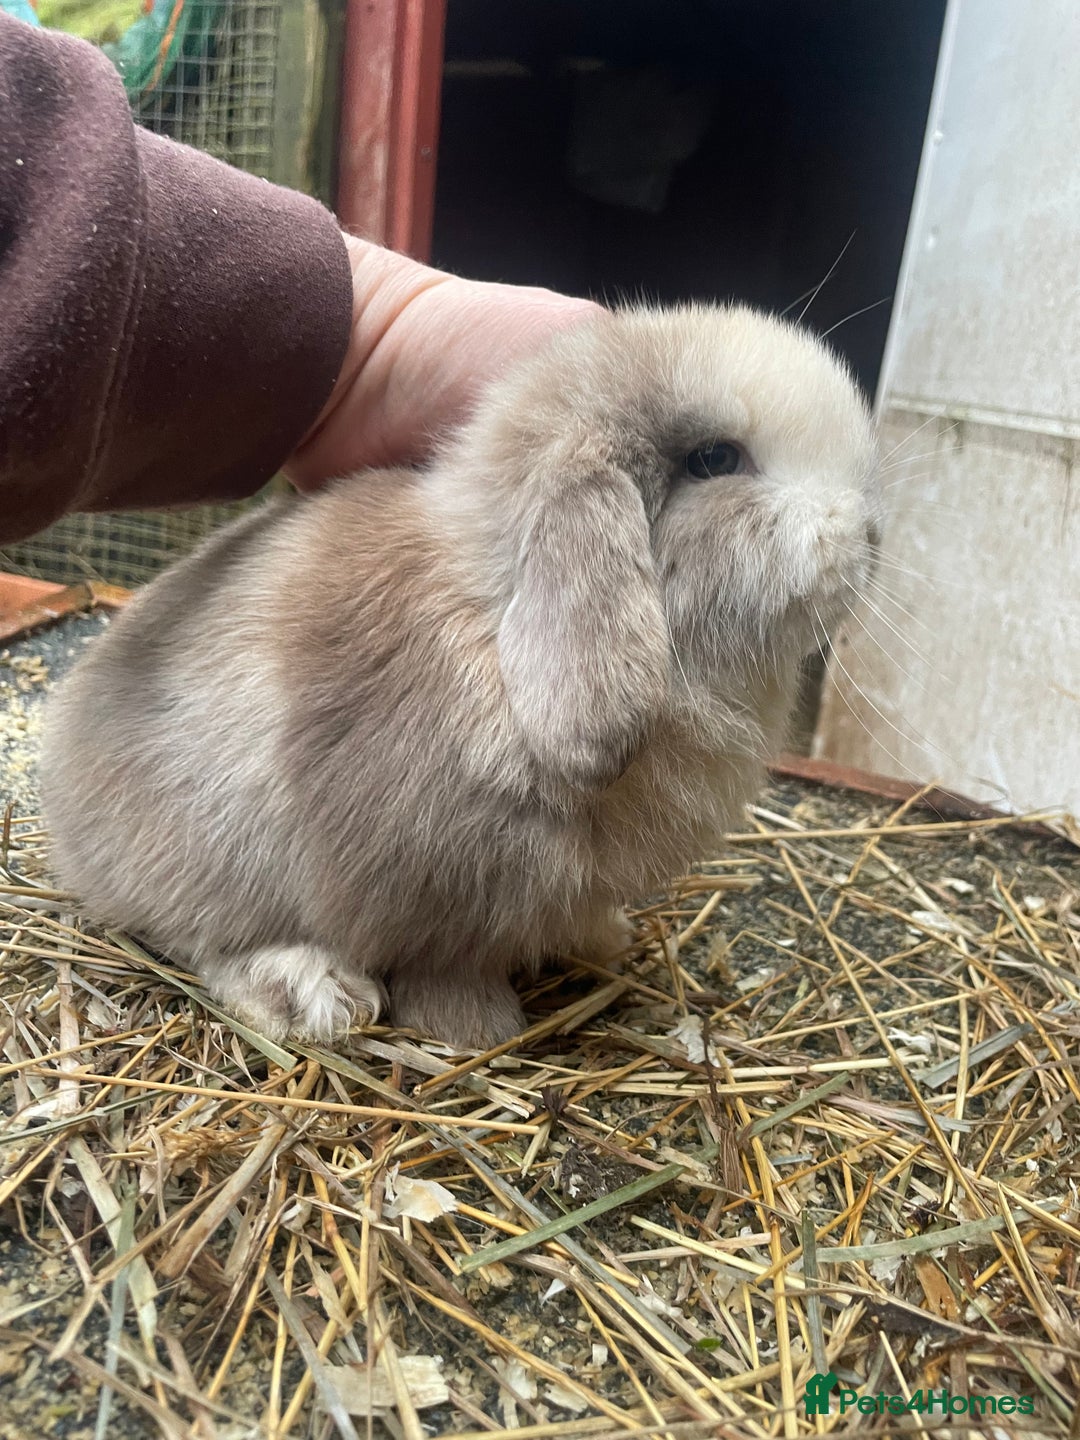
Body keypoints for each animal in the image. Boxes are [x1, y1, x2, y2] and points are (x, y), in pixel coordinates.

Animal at [40, 303, 880, 1051]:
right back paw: (313, 993)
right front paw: (478, 1032)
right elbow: (446, 968)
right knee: (198, 938)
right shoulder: (438, 897)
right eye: (716, 460)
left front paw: (606, 939)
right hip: (211, 856)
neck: (496, 618)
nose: (869, 532)